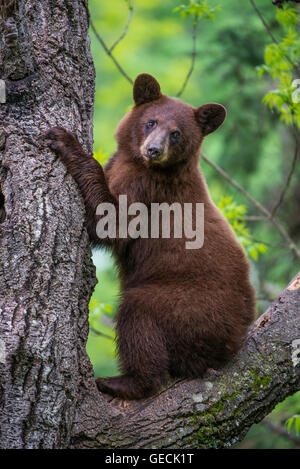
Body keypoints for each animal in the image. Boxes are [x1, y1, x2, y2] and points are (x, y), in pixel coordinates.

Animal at [45, 72, 255, 398]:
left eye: (176, 133)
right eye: (151, 122)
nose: (153, 150)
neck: (144, 165)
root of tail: (232, 344)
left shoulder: (147, 191)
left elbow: (111, 221)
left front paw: (64, 140)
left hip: (186, 305)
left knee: (139, 317)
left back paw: (121, 381)